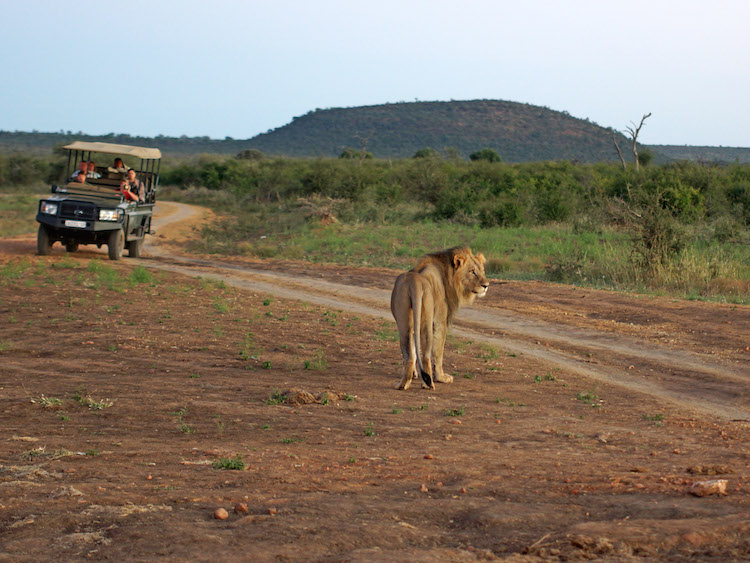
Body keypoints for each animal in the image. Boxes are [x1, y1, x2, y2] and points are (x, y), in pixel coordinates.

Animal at [390, 245, 490, 390]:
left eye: (482, 271)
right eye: (472, 272)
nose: (486, 285)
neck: (448, 276)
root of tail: (414, 283)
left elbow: (413, 350)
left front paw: (413, 374)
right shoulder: (439, 321)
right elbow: (438, 352)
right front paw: (442, 377)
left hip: (403, 322)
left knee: (408, 355)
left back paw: (403, 384)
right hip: (426, 320)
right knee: (426, 355)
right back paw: (428, 384)